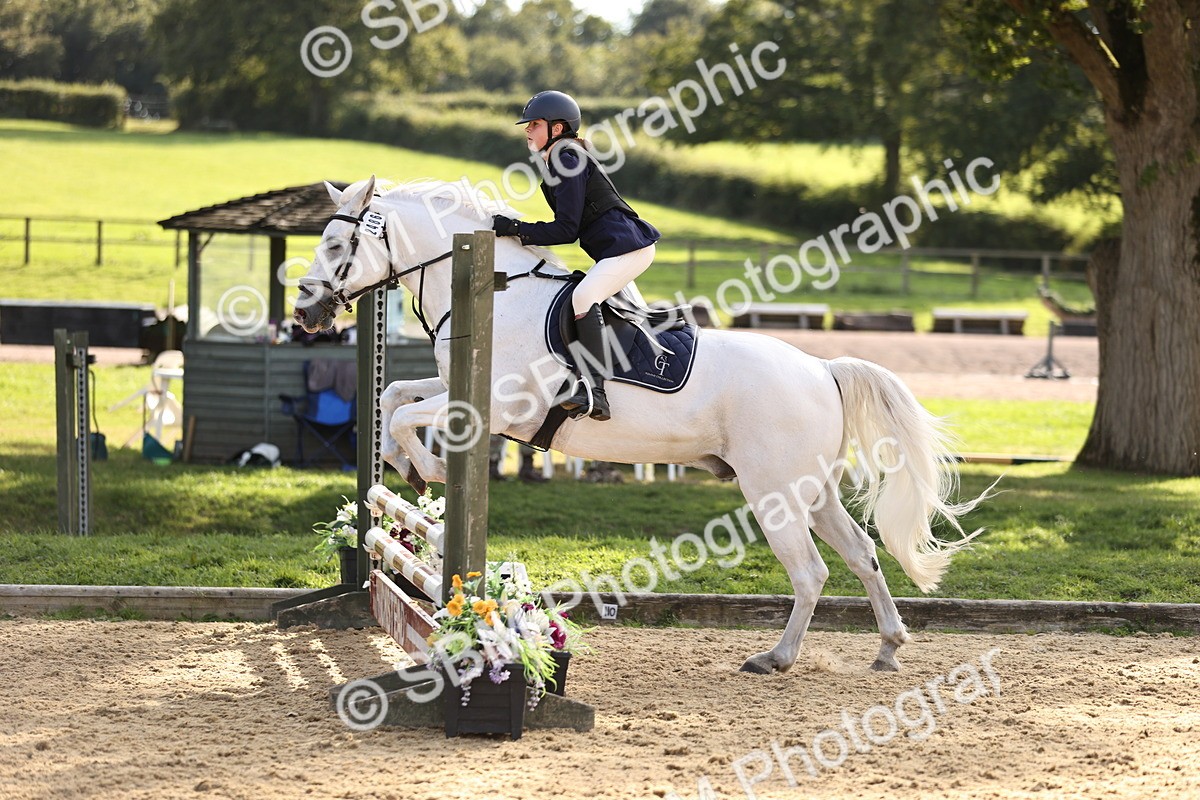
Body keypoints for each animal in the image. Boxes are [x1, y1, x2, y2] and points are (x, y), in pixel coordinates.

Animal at [294, 176, 986, 674]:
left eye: (336, 246)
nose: (306, 312)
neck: (495, 289)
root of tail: (822, 369)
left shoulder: (494, 405)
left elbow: (407, 414)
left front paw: (430, 467)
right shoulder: (455, 388)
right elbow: (394, 396)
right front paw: (411, 470)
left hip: (773, 491)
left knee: (811, 571)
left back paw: (777, 658)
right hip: (811, 491)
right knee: (863, 554)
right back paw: (889, 647)